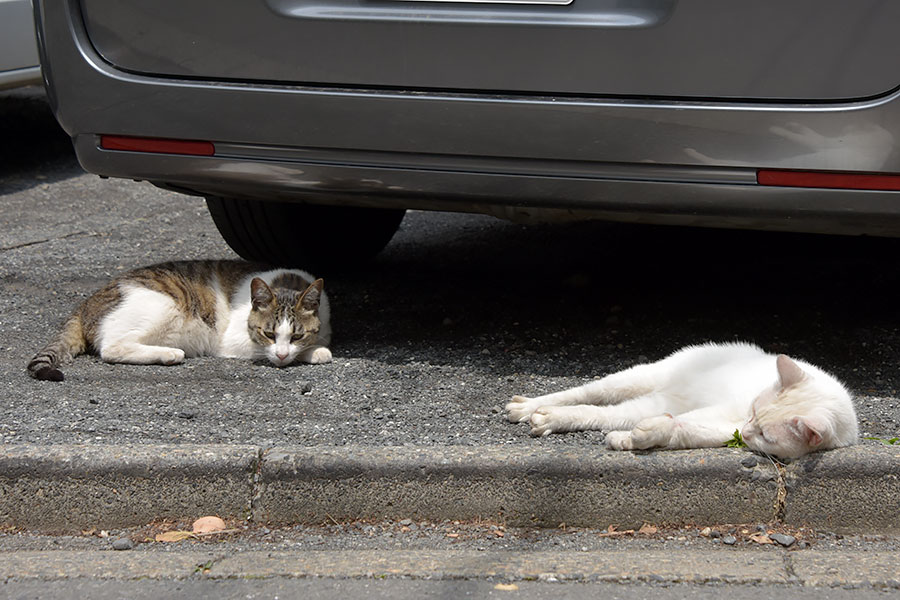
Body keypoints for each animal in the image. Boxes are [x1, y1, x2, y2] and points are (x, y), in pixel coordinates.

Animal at [26, 260, 332, 382]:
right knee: (112, 348)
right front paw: (316, 352)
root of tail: (86, 302)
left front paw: (312, 348)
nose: (281, 355)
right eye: (268, 334)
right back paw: (170, 353)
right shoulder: (232, 341)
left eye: (297, 335)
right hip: (163, 305)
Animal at [506, 342, 856, 460]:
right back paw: (530, 408)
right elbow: (687, 423)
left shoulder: (725, 430)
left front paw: (632, 440)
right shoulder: (727, 415)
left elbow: (682, 430)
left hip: (647, 403)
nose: (747, 428)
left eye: (766, 436)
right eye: (754, 409)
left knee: (604, 414)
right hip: (637, 377)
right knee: (584, 393)